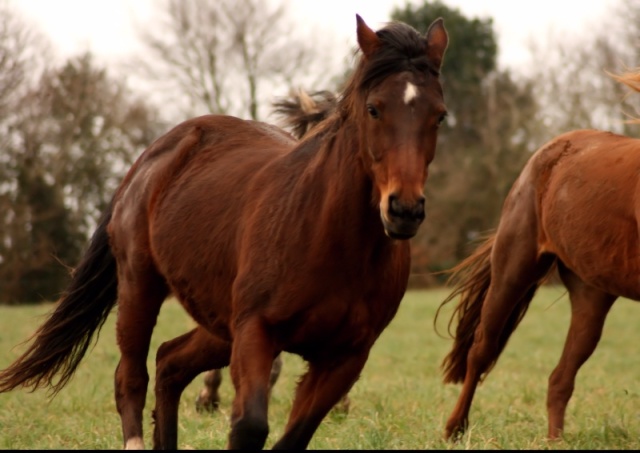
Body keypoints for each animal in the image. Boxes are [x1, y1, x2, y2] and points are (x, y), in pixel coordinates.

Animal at [0, 15, 450, 448]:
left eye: (440, 115)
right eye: (374, 109)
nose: (404, 209)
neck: (334, 242)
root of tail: (152, 155)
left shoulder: (345, 357)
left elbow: (292, 438)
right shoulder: (255, 332)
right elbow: (248, 427)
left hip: (217, 323)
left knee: (169, 361)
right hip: (139, 286)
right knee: (131, 378)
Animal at [438, 69, 640, 440]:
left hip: (592, 295)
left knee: (560, 378)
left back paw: (555, 441)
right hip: (513, 272)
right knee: (481, 350)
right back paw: (454, 428)